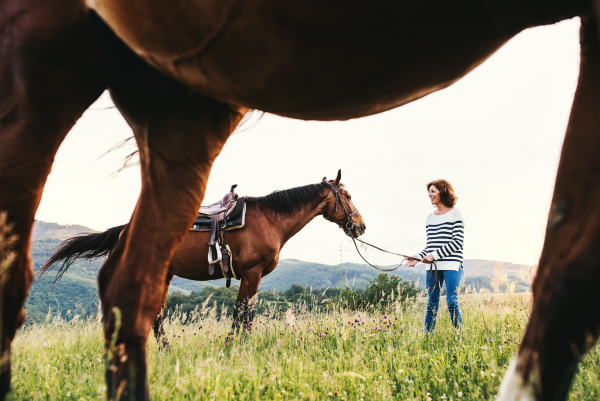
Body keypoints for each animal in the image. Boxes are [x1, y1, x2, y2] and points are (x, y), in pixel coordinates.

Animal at [39, 172, 366, 340]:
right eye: (348, 196)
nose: (361, 226)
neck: (270, 220)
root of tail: (124, 231)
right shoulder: (252, 273)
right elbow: (243, 313)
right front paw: (235, 346)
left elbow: (242, 312)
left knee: (155, 317)